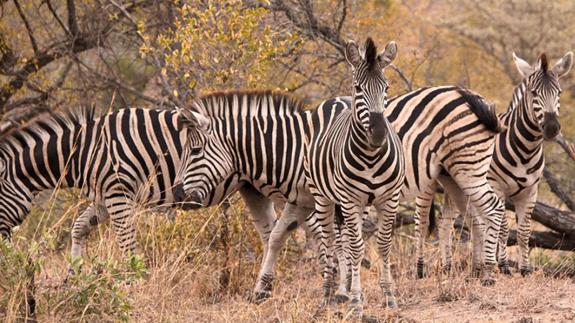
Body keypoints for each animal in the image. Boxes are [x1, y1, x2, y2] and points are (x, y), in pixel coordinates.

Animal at [302, 37, 404, 312]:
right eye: (359, 88)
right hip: (323, 197)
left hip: (358, 205)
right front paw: (357, 301)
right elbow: (357, 248)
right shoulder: (349, 200)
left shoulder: (389, 199)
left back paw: (343, 290)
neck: (371, 156)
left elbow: (383, 244)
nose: (378, 133)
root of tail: (337, 98)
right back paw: (328, 294)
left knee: (344, 241)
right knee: (330, 241)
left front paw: (389, 296)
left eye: (386, 87)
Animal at [426, 52, 572, 278]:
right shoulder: (497, 187)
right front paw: (502, 266)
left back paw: (457, 267)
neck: (526, 150)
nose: (551, 128)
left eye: (559, 92)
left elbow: (524, 231)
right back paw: (445, 267)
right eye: (533, 93)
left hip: (457, 188)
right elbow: (503, 227)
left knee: (449, 223)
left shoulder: (531, 191)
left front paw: (525, 269)